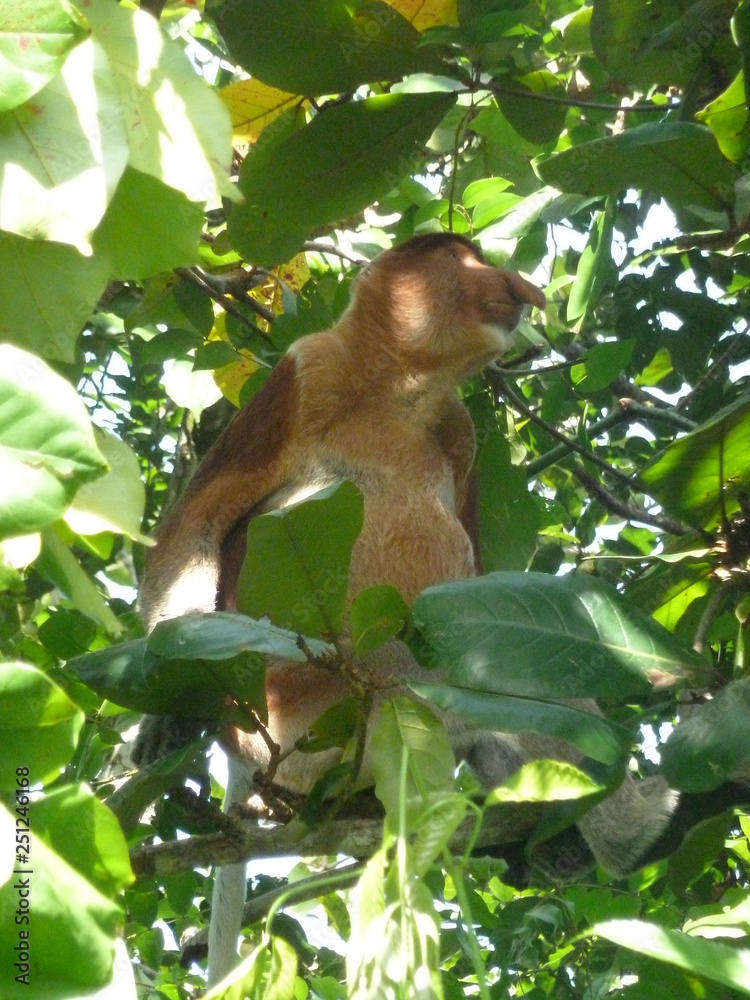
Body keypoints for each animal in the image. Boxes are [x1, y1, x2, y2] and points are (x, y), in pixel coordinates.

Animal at [135, 233, 677, 985]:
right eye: (465, 260)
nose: (519, 287)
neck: (396, 392)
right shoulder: (303, 373)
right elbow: (197, 525)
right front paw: (164, 717)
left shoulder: (458, 428)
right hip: (327, 716)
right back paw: (637, 826)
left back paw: (566, 838)